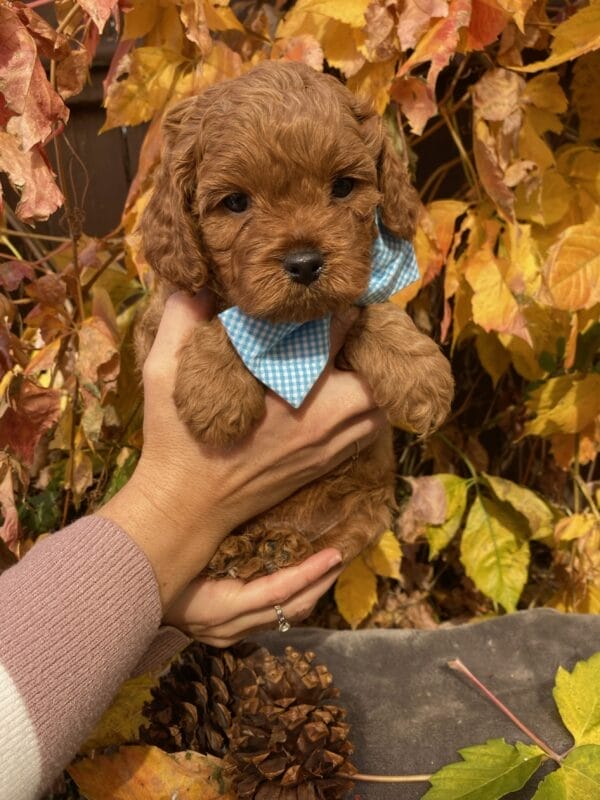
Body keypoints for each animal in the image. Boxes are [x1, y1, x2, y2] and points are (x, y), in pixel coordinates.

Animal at [137, 59, 454, 580]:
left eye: (342, 187)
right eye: (236, 202)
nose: (305, 263)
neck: (294, 332)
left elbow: (370, 310)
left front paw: (420, 378)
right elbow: (226, 321)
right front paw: (216, 394)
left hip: (365, 509)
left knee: (330, 539)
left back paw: (277, 546)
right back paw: (237, 550)